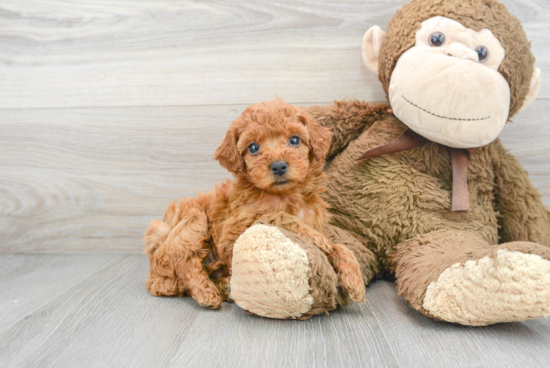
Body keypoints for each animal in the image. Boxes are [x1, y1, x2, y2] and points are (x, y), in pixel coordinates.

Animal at [144, 99, 366, 310]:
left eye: (295, 139)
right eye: (253, 147)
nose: (278, 166)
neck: (284, 195)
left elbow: (338, 247)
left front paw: (355, 279)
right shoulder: (235, 230)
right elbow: (278, 216)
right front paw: (315, 238)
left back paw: (224, 286)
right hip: (193, 220)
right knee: (185, 260)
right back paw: (207, 292)